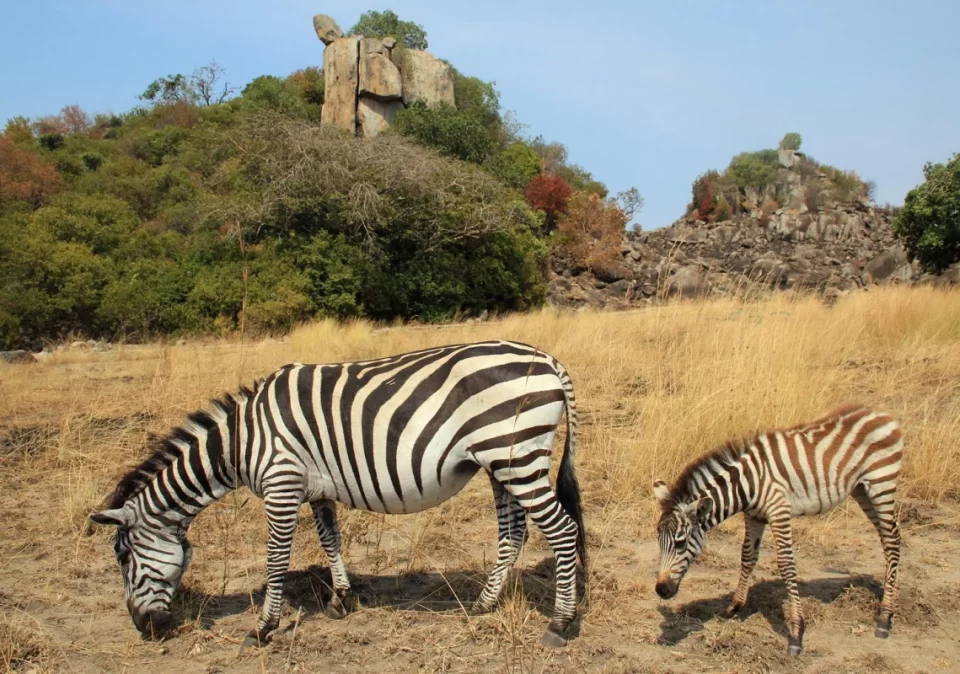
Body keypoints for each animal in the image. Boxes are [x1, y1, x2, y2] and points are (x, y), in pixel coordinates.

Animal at [89, 340, 587, 649]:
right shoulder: (316, 489)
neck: (241, 440)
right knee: (514, 533)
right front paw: (340, 601)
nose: (145, 630)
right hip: (501, 462)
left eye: (124, 559)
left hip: (515, 455)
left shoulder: (281, 484)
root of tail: (549, 360)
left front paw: (263, 629)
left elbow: (275, 561)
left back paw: (560, 624)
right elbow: (331, 540)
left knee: (562, 531)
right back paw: (483, 606)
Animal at [652, 404, 903, 656]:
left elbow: (786, 564)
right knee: (887, 538)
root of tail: (881, 412)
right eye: (659, 542)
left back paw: (884, 618)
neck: (748, 484)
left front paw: (796, 632)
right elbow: (748, 556)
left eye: (681, 542)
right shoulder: (754, 516)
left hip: (881, 485)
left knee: (892, 541)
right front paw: (735, 607)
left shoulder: (779, 511)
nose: (661, 590)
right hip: (862, 490)